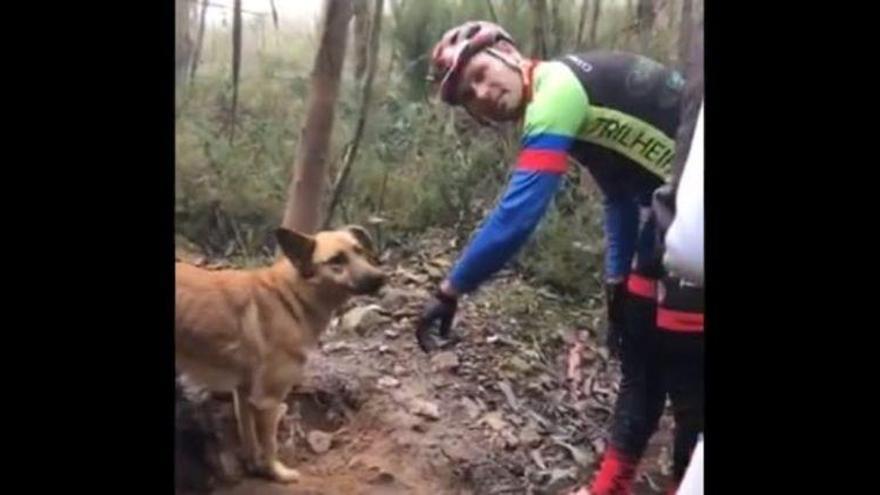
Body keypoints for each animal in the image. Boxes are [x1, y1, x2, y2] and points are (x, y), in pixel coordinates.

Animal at [175, 227, 384, 482]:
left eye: (360, 251)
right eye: (336, 260)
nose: (380, 277)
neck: (291, 296)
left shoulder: (244, 392)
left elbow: (249, 436)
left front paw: (254, 467)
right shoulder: (269, 400)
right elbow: (270, 444)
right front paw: (276, 472)